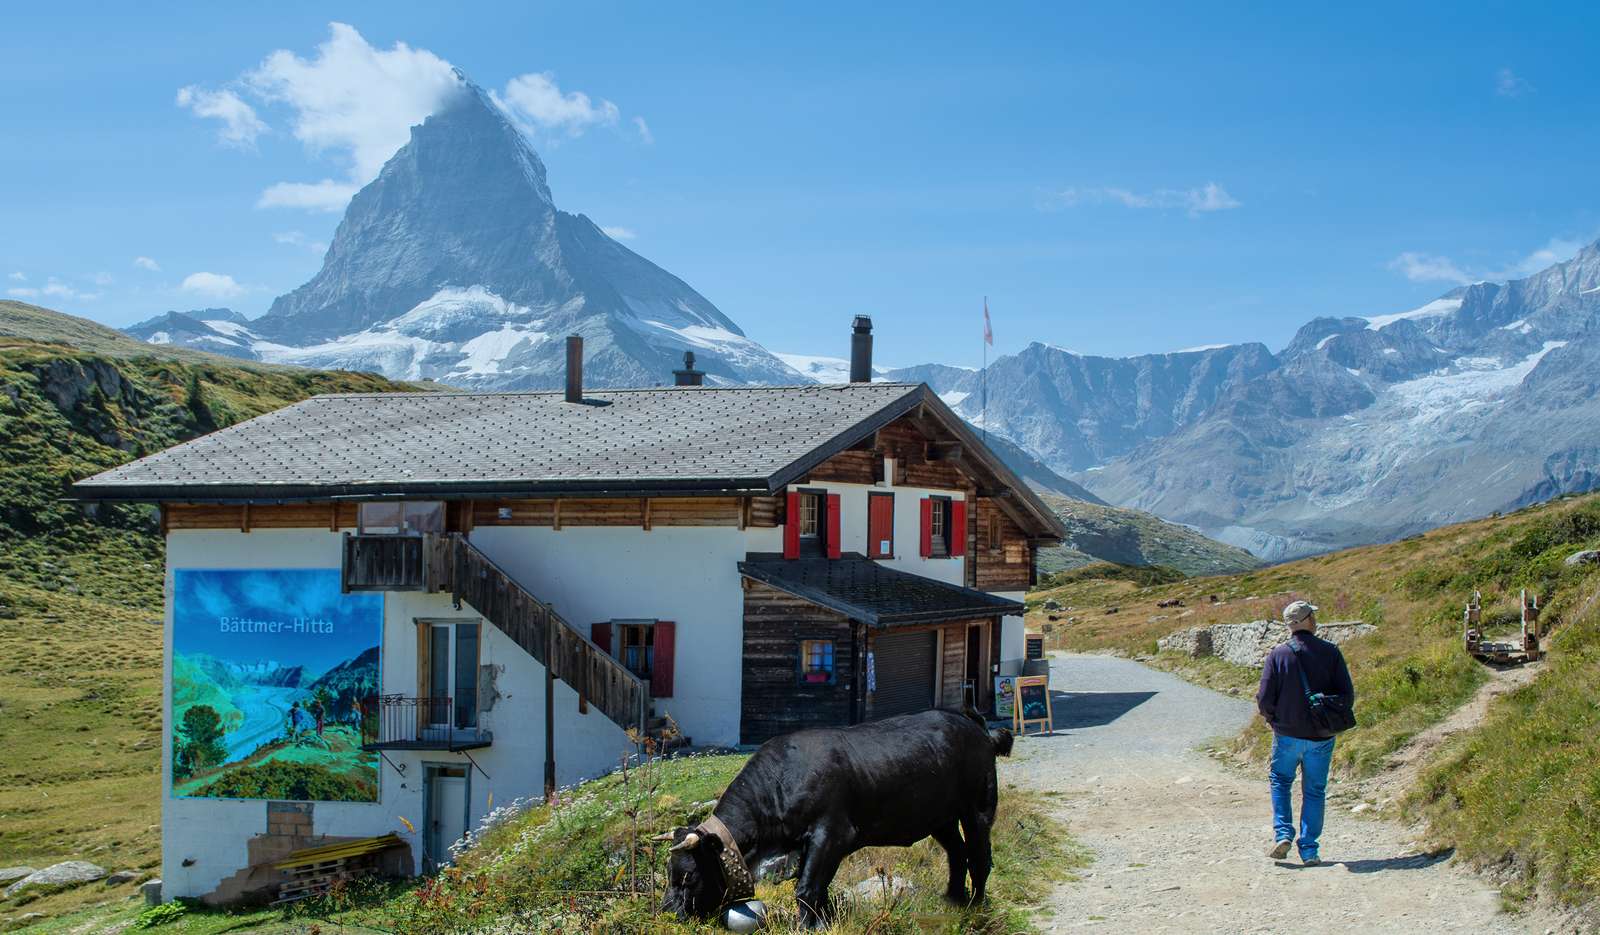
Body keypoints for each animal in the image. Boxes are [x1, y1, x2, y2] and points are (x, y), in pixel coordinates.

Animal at [659, 707, 1011, 928]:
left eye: (687, 876)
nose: (669, 912)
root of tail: (977, 728)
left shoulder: (832, 834)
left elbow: (807, 889)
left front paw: (806, 927)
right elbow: (819, 889)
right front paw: (823, 920)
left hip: (978, 808)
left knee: (980, 857)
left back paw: (976, 907)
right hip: (940, 819)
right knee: (958, 853)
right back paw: (953, 899)